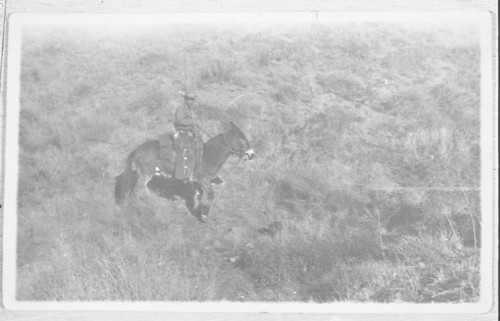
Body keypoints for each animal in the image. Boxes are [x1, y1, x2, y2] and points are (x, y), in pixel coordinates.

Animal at [114, 121, 254, 221]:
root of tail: (136, 150)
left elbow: (198, 195)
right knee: (136, 192)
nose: (252, 154)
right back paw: (140, 209)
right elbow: (210, 195)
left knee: (142, 190)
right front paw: (204, 215)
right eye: (241, 139)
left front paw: (197, 210)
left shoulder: (198, 182)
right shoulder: (204, 179)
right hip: (145, 174)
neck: (209, 154)